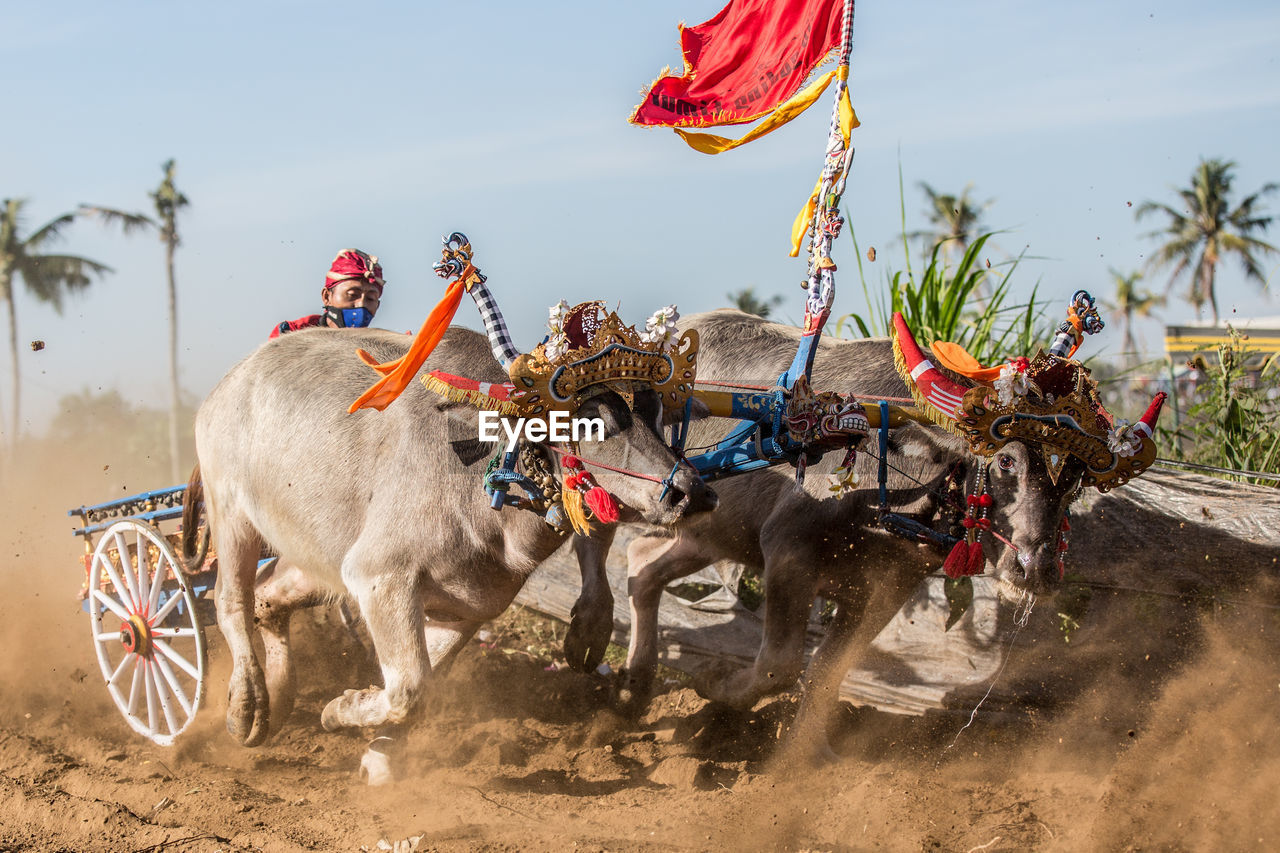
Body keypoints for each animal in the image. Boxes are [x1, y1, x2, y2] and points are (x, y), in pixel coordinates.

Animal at [190, 322, 716, 747]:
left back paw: (280, 695)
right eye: (593, 420)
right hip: (232, 514)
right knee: (230, 601)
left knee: (269, 600)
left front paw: (375, 750)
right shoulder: (380, 577)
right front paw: (341, 709)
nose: (691, 493)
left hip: (313, 555)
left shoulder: (467, 607)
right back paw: (246, 706)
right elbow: (408, 690)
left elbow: (422, 688)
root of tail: (227, 384)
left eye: (656, 413)